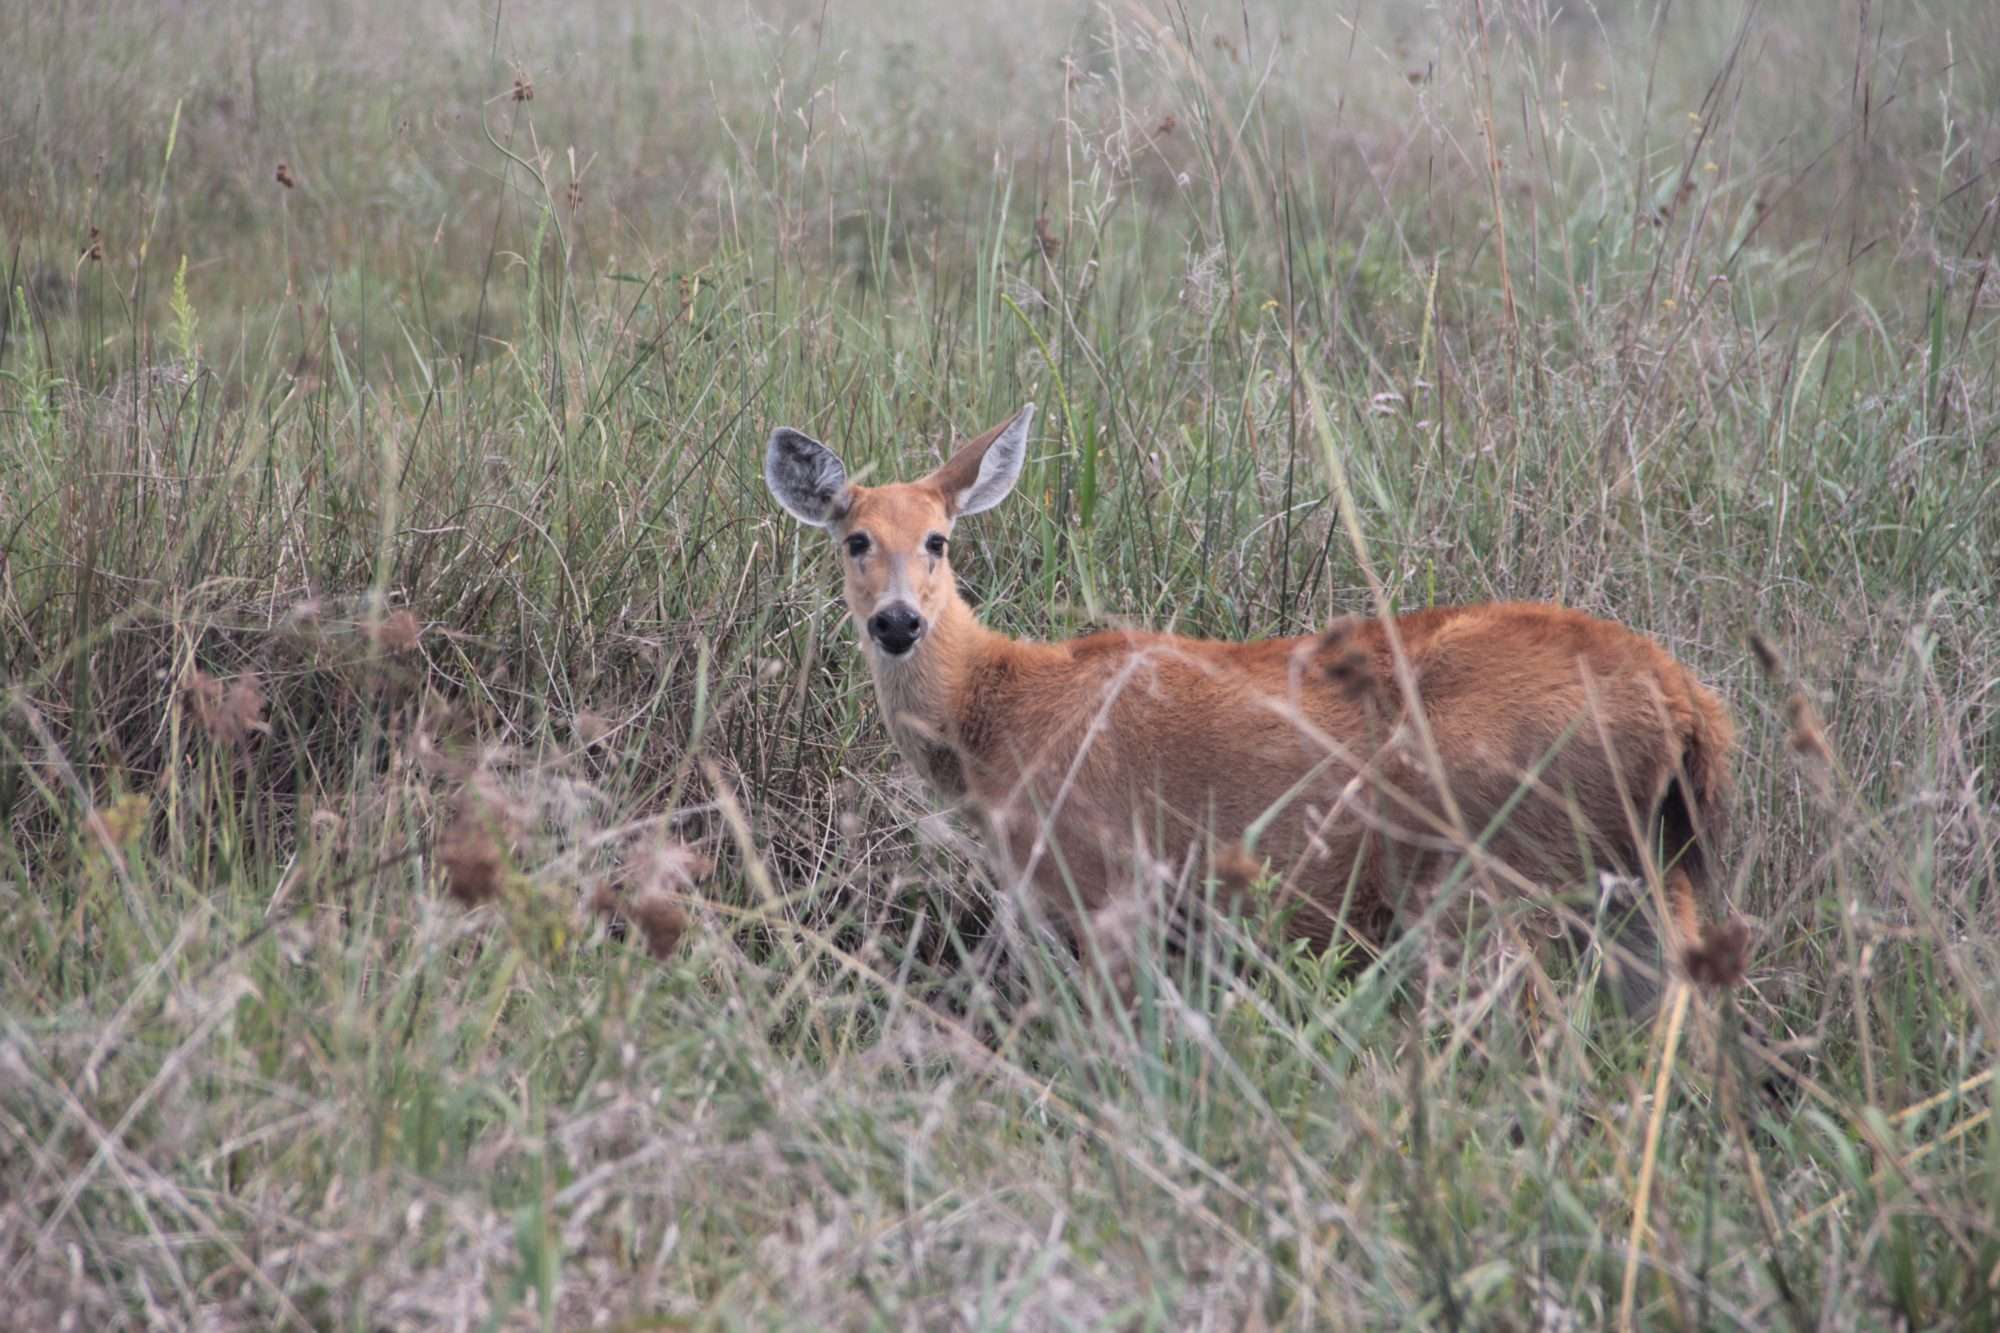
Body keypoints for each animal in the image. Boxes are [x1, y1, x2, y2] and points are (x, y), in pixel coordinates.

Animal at [760, 400, 1736, 1012]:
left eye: (938, 539)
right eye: (854, 538)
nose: (897, 620)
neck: (998, 711)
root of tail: (1687, 701)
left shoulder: (1106, 882)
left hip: (1495, 870)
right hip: (1653, 874)